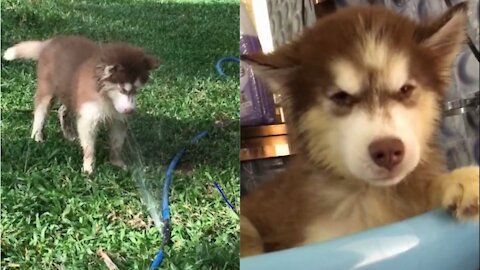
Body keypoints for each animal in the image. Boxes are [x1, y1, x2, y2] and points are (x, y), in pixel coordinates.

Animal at [3, 35, 159, 174]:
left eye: (136, 90)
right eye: (123, 89)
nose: (130, 111)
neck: (105, 97)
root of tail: (50, 42)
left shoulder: (117, 118)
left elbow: (117, 143)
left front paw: (117, 163)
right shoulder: (89, 117)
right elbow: (89, 145)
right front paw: (88, 168)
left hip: (70, 92)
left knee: (62, 110)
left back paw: (69, 134)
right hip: (48, 88)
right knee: (41, 111)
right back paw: (37, 136)